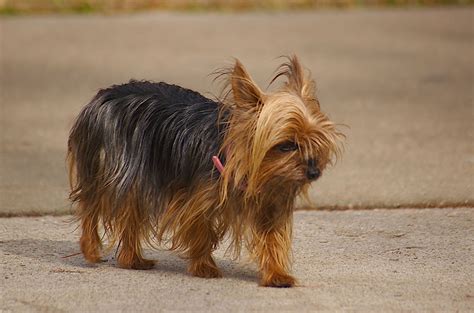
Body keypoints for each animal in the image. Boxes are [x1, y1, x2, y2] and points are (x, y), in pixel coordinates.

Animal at [66, 55, 342, 286]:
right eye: (286, 145)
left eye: (316, 142)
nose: (314, 172)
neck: (242, 167)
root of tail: (106, 93)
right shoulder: (196, 199)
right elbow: (201, 231)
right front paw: (204, 267)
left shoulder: (270, 203)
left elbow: (273, 240)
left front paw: (276, 274)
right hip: (116, 166)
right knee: (93, 203)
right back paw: (91, 248)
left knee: (131, 215)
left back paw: (132, 259)